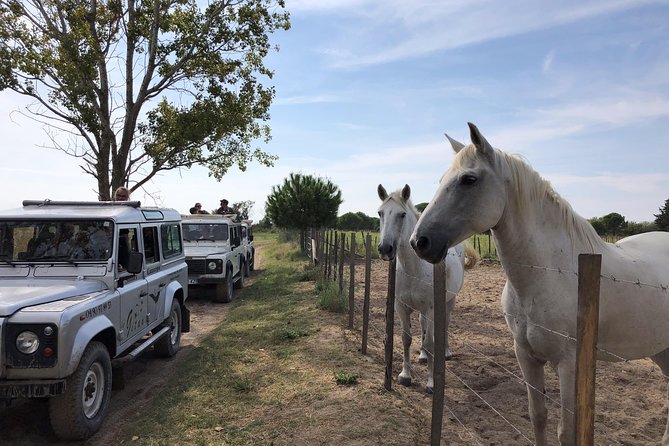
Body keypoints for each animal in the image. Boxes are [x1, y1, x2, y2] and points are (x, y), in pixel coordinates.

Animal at [377, 184, 477, 393]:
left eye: (402, 215)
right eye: (380, 213)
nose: (385, 248)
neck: (413, 268)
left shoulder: (431, 308)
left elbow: (431, 342)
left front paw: (431, 383)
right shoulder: (401, 307)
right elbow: (406, 339)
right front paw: (405, 375)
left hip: (448, 302)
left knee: (445, 324)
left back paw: (445, 352)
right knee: (423, 326)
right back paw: (422, 356)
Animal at [410, 122, 669, 445]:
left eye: (469, 180)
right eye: (442, 179)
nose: (419, 242)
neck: (548, 274)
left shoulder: (569, 366)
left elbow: (566, 431)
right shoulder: (526, 355)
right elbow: (538, 415)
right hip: (661, 350)